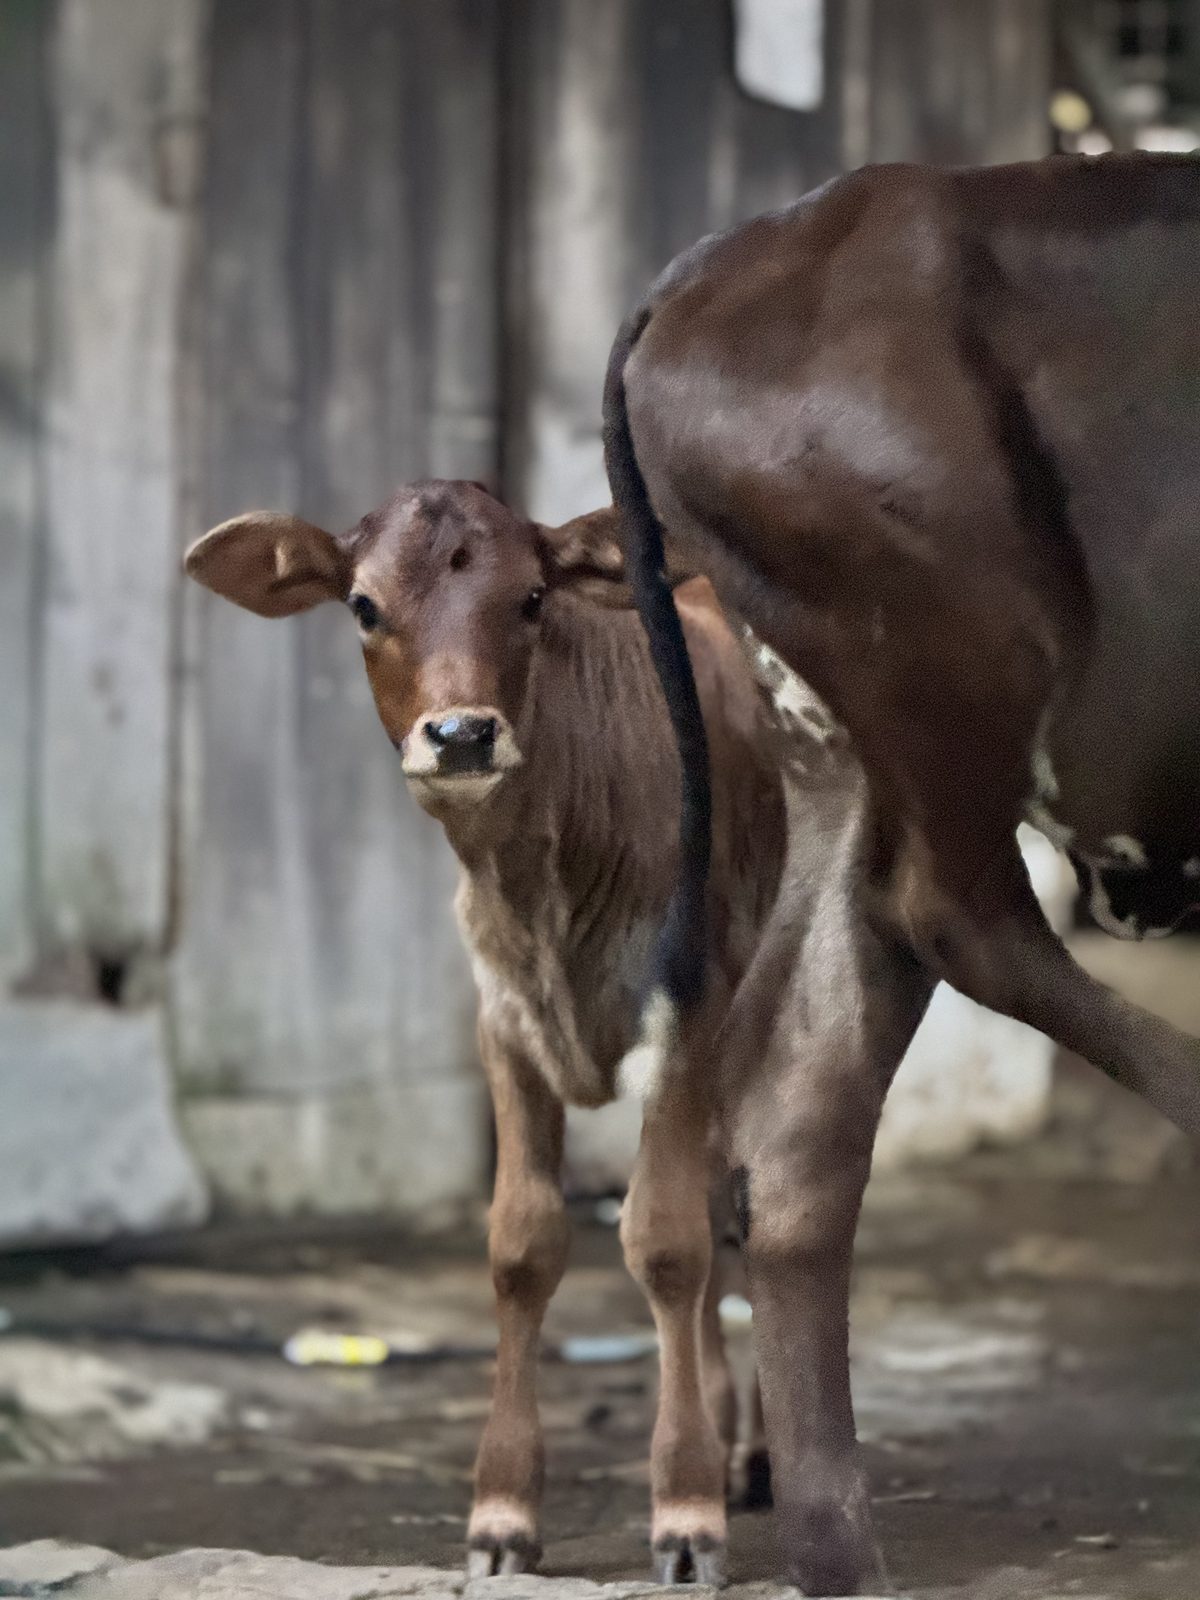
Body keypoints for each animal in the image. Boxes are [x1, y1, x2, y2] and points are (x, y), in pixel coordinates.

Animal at [186, 481, 814, 1583]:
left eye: (530, 598)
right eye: (363, 605)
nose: (462, 734)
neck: (543, 877)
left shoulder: (686, 1006)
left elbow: (665, 1243)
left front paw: (685, 1510)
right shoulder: (503, 1022)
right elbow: (523, 1246)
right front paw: (503, 1513)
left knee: (729, 1213)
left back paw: (749, 1452)